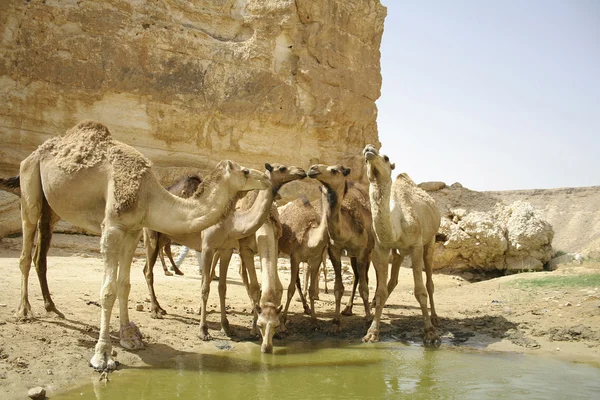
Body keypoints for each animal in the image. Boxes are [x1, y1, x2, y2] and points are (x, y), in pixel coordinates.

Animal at [0, 120, 270, 370]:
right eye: (245, 171)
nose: (266, 177)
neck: (149, 194)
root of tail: (33, 154)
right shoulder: (112, 227)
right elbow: (108, 290)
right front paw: (102, 355)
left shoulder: (132, 230)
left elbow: (124, 285)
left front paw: (129, 339)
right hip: (30, 184)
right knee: (26, 248)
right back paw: (24, 311)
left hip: (52, 205)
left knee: (40, 252)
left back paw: (52, 308)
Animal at [278, 191, 330, 328]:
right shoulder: (295, 257)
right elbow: (291, 288)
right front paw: (283, 318)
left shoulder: (316, 260)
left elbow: (311, 289)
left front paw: (314, 318)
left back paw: (306, 307)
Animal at [308, 162, 372, 332]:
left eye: (334, 170)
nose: (312, 168)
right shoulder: (334, 250)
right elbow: (338, 288)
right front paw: (336, 321)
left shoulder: (363, 251)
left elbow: (364, 287)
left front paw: (368, 319)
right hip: (352, 255)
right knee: (357, 276)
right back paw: (348, 309)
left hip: (370, 252)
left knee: (366, 277)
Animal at [360, 143, 440, 344]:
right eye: (364, 157)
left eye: (386, 158)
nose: (369, 149)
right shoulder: (382, 247)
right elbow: (381, 292)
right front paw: (371, 333)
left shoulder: (416, 246)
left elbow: (420, 291)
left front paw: (430, 333)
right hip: (398, 251)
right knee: (393, 278)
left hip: (430, 240)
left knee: (429, 281)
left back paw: (435, 317)